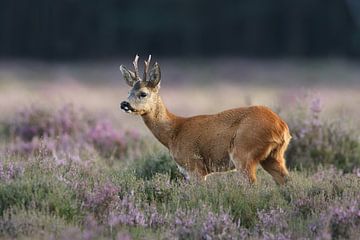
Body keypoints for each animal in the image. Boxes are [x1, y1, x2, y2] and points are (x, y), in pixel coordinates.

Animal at [119, 55, 292, 184]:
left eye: (143, 93)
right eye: (128, 91)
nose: (124, 104)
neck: (173, 133)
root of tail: (281, 127)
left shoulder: (195, 166)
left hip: (244, 151)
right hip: (274, 156)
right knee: (286, 180)